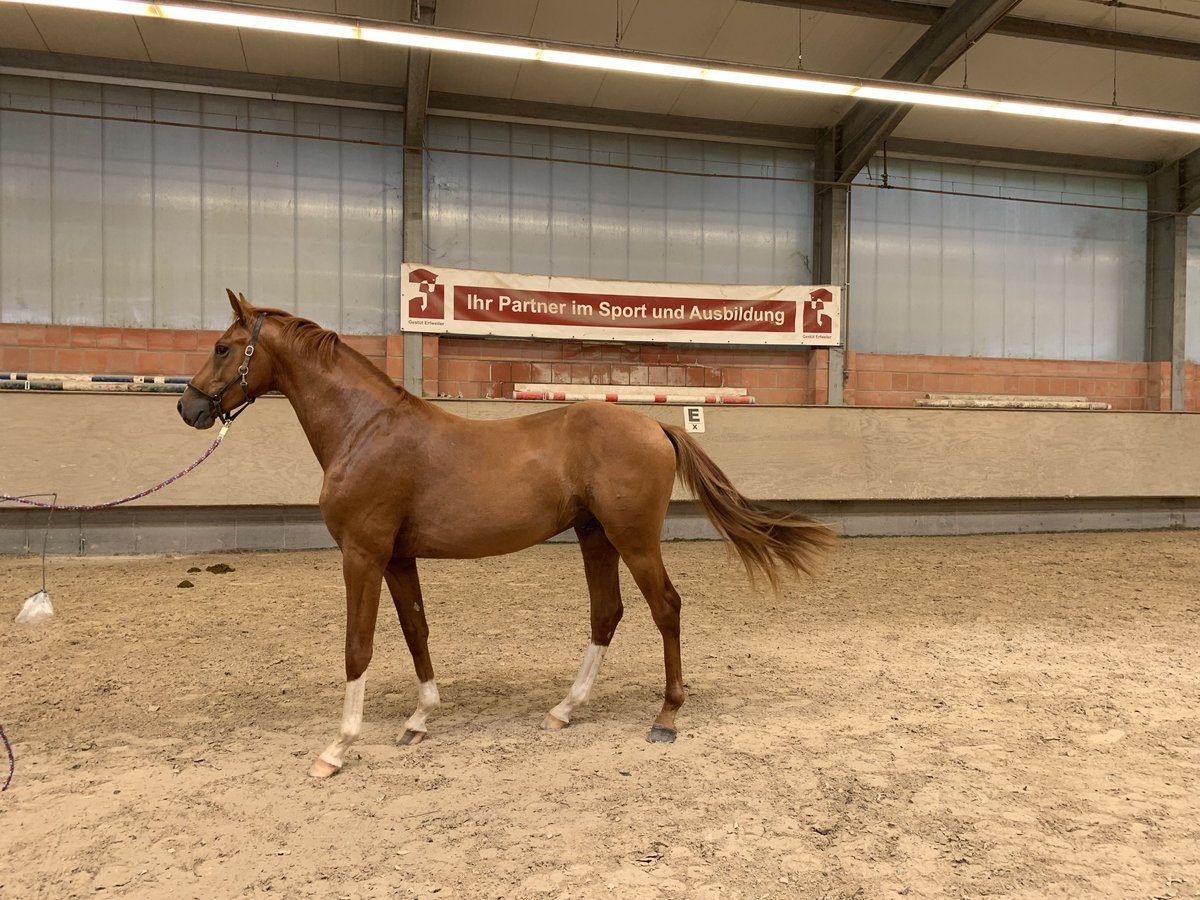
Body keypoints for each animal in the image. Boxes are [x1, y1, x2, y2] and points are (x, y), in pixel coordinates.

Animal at [180, 292, 835, 777]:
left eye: (222, 347)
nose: (189, 408)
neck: (365, 430)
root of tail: (654, 423)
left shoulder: (362, 556)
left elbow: (357, 647)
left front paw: (337, 749)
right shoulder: (396, 559)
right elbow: (416, 632)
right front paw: (418, 721)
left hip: (632, 539)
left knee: (666, 607)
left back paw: (666, 717)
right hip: (596, 537)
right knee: (607, 613)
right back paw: (564, 710)